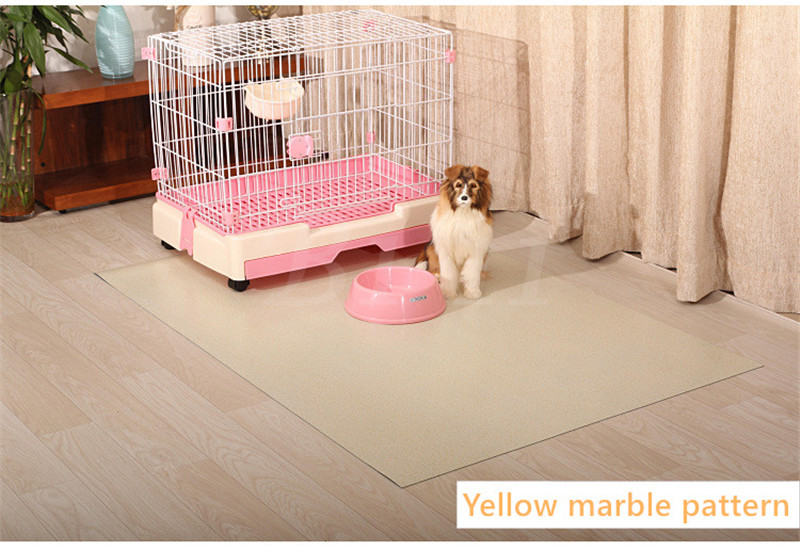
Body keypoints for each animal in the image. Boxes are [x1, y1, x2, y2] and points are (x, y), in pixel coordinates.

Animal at [414, 164, 493, 299]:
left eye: (473, 185)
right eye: (458, 185)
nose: (464, 198)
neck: (463, 213)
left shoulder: (476, 251)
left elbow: (472, 274)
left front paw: (472, 293)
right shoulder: (446, 251)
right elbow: (448, 274)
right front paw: (448, 292)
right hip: (431, 250)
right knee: (433, 269)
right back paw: (436, 278)